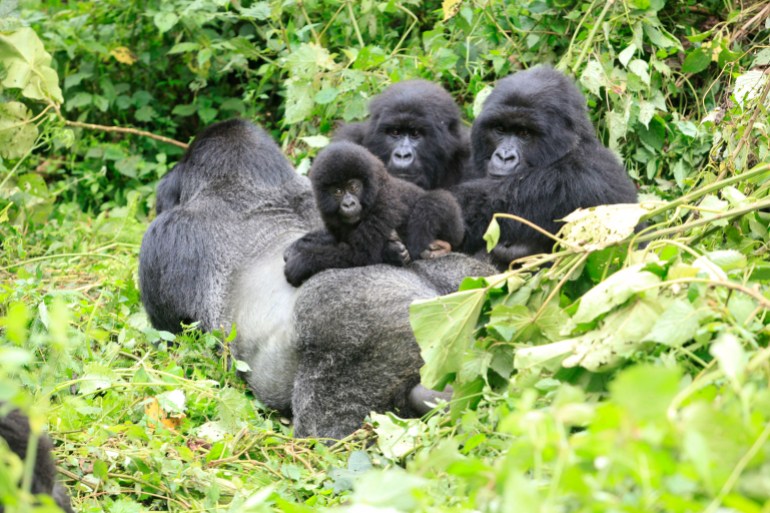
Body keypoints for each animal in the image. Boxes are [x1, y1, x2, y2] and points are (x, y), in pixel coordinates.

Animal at [282, 140, 462, 286]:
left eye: (354, 187)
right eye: (338, 191)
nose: (349, 204)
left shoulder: (384, 204)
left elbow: (362, 255)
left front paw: (301, 262)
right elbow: (336, 239)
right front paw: (298, 245)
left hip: (454, 225)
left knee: (434, 202)